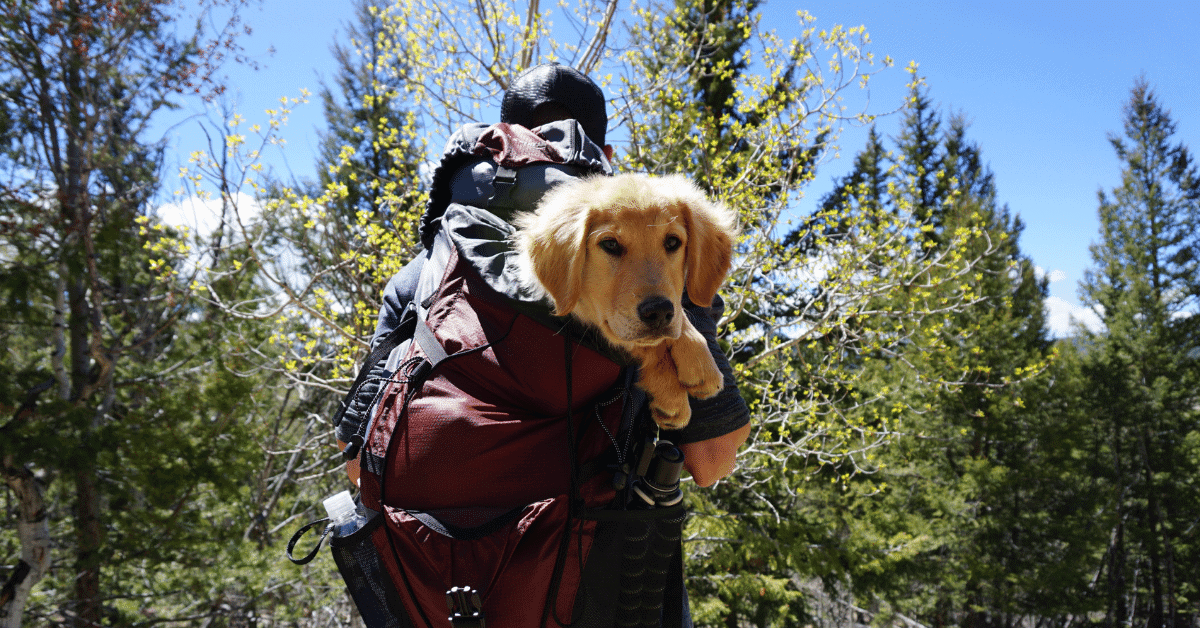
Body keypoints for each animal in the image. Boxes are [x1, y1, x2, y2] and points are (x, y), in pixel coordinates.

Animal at [511, 171, 734, 429]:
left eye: (672, 242)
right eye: (610, 244)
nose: (658, 312)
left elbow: (677, 317)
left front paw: (698, 360)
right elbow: (639, 341)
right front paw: (672, 393)